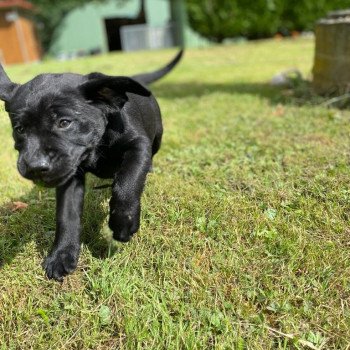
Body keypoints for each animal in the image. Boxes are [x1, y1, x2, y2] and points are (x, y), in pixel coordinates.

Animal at [0, 49, 185, 280]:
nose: (35, 166)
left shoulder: (138, 146)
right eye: (20, 129)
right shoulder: (69, 175)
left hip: (157, 137)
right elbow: (66, 215)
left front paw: (123, 223)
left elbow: (128, 182)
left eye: (64, 122)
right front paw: (61, 254)